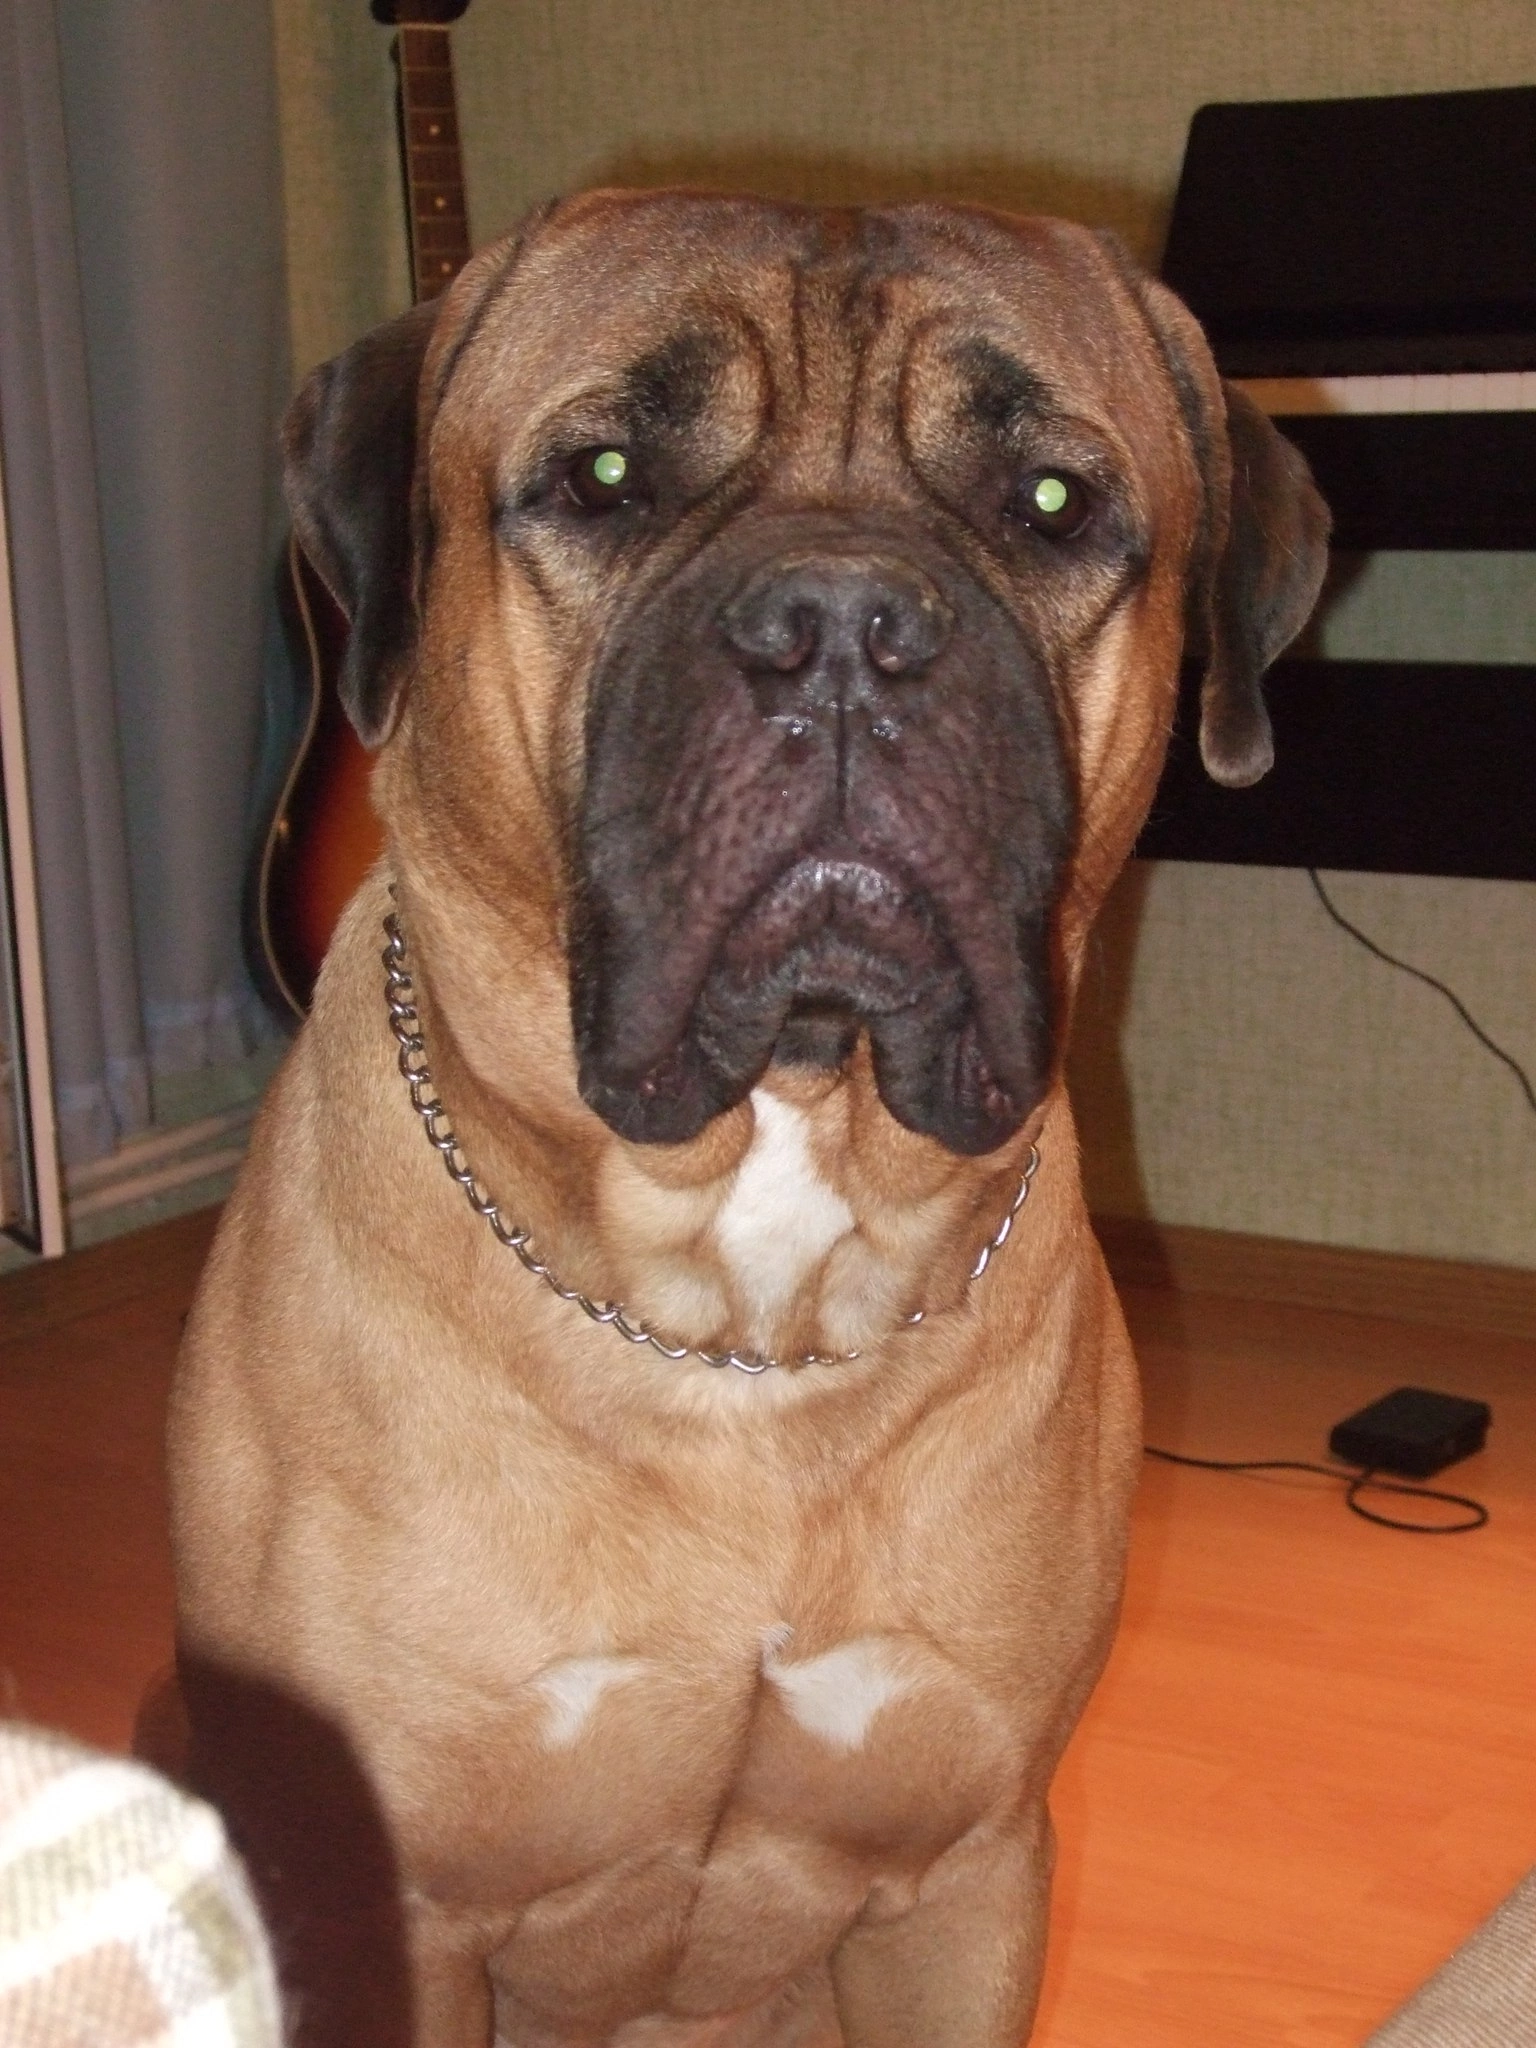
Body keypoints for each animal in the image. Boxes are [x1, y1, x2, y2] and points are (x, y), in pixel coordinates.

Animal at [168, 190, 1328, 2048]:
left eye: (1051, 503)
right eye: (606, 477)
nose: (844, 630)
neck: (746, 1291)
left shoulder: (967, 1871)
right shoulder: (395, 1903)